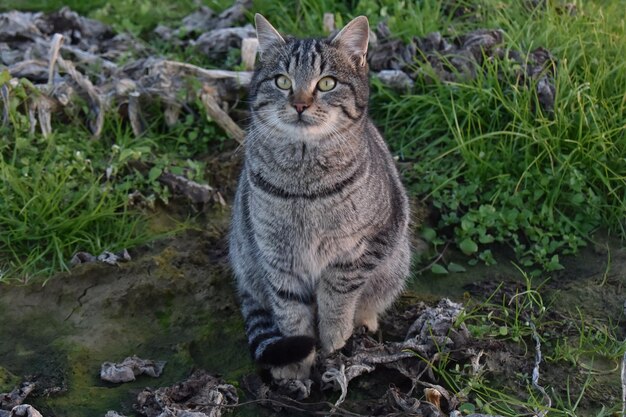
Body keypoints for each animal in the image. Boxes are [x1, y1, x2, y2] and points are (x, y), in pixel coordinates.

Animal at [229, 13, 410, 378]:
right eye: (282, 81)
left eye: (326, 83)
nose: (300, 104)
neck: (305, 184)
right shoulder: (277, 256)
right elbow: (290, 313)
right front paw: (297, 368)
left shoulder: (368, 246)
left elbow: (337, 295)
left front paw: (334, 339)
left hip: (396, 262)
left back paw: (364, 321)